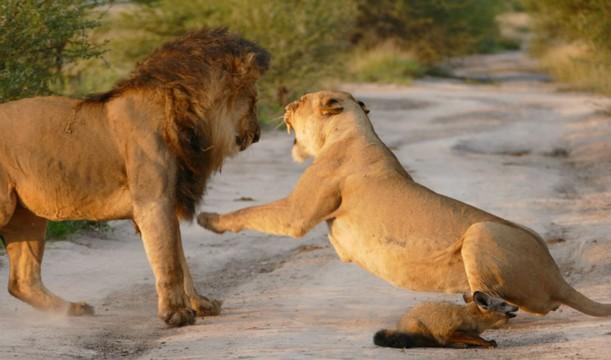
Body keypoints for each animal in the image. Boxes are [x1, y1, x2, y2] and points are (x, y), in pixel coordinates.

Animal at [0, 28, 270, 326]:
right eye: (253, 101)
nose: (258, 134)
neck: (186, 116)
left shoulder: (168, 200)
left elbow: (180, 259)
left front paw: (200, 303)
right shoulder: (153, 201)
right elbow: (170, 261)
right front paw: (176, 314)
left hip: (26, 215)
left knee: (21, 282)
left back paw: (73, 309)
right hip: (6, 207)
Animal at [198, 90, 608, 318]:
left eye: (298, 104)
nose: (284, 106)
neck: (351, 130)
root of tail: (558, 277)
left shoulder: (297, 213)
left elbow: (251, 211)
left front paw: (208, 218)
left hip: (482, 230)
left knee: (499, 299)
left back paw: (480, 307)